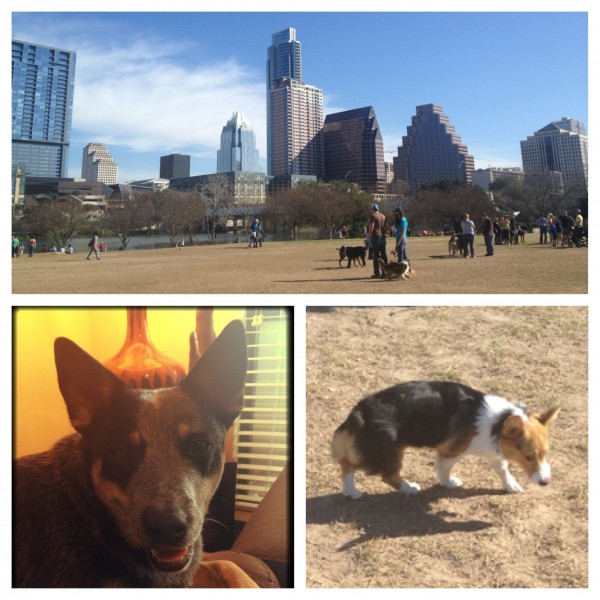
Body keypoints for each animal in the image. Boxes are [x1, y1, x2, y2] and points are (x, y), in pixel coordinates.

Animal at [330, 382, 560, 500]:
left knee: (347, 464)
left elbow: (502, 469)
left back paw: (350, 491)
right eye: (529, 457)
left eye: (545, 454)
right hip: (390, 450)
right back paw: (407, 488)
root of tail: (359, 413)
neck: (498, 421)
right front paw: (448, 483)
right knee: (386, 475)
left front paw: (511, 485)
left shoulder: (492, 450)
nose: (546, 482)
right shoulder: (450, 451)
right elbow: (444, 468)